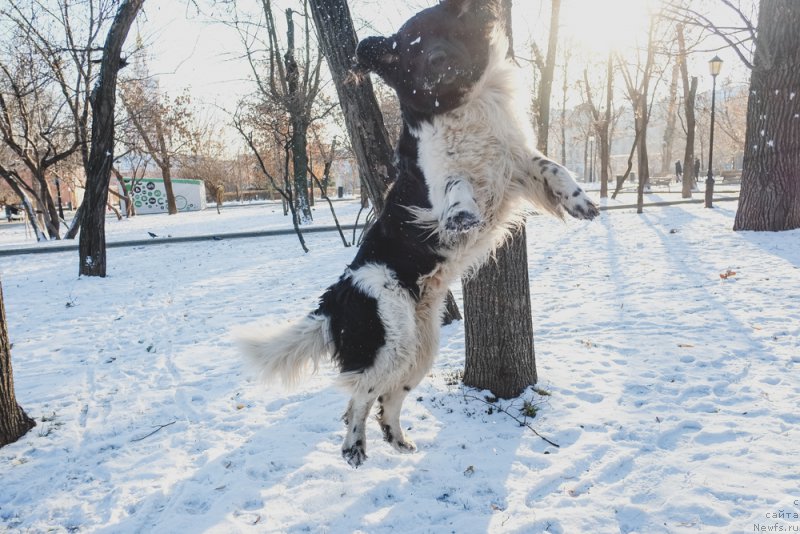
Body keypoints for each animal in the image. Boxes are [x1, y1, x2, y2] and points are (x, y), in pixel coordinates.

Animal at [241, 0, 596, 468]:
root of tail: (335, 299)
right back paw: (354, 448)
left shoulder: (516, 163)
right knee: (357, 399)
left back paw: (397, 441)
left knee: (386, 401)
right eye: (410, 51)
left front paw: (580, 202)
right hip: (390, 343)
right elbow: (454, 184)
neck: (457, 106)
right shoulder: (435, 178)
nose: (438, 61)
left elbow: (553, 167)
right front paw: (463, 215)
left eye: (442, 30)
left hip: (419, 348)